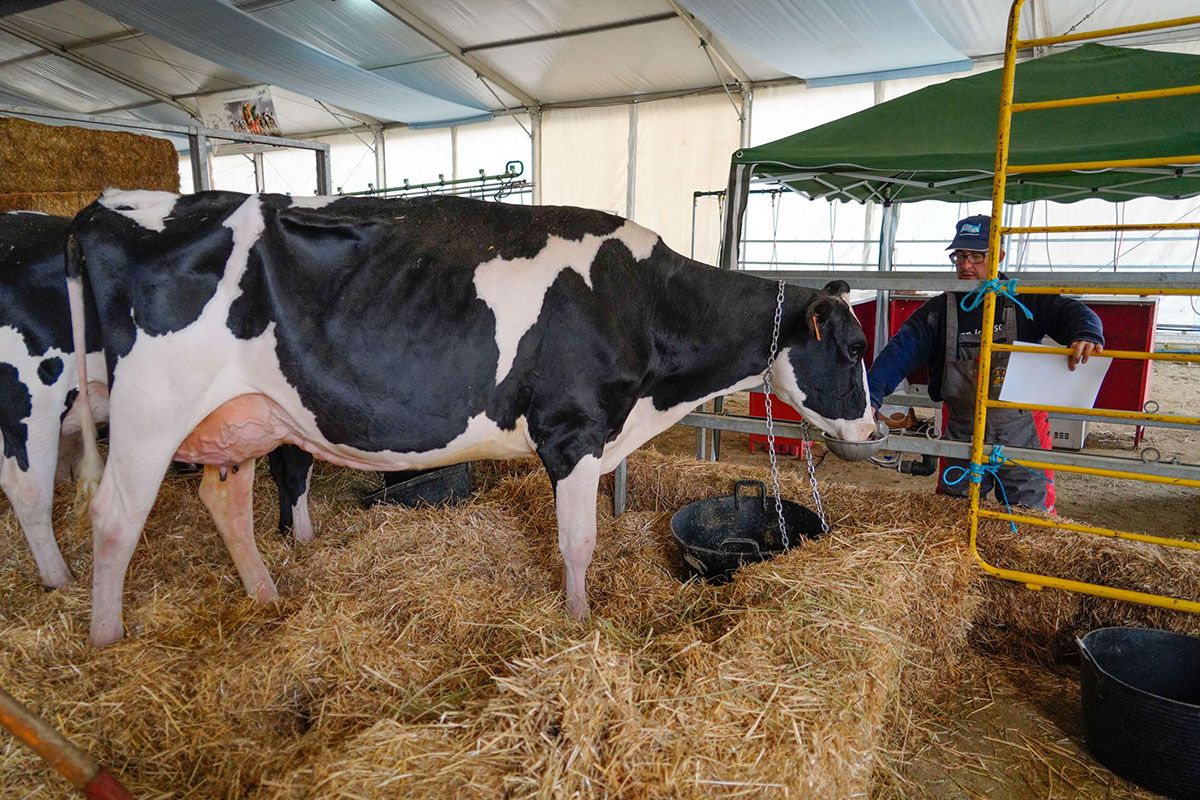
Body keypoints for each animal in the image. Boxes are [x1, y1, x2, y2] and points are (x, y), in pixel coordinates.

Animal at [68, 190, 873, 647]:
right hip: (151, 407)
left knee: (225, 498)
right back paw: (107, 640)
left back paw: (265, 597)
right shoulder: (573, 430)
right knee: (113, 517)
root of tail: (106, 209)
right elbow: (578, 544)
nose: (874, 433)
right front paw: (579, 624)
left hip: (240, 415)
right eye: (853, 346)